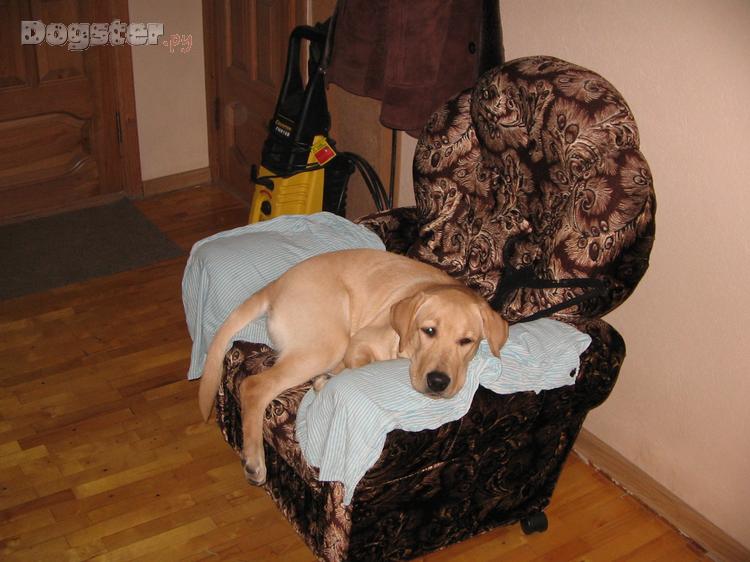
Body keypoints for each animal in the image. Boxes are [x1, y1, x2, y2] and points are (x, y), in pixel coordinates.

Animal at [198, 248, 508, 485]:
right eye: (428, 331)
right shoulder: (361, 341)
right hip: (329, 342)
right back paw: (254, 460)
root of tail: (276, 284)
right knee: (254, 386)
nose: (438, 382)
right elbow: (358, 365)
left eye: (466, 341)